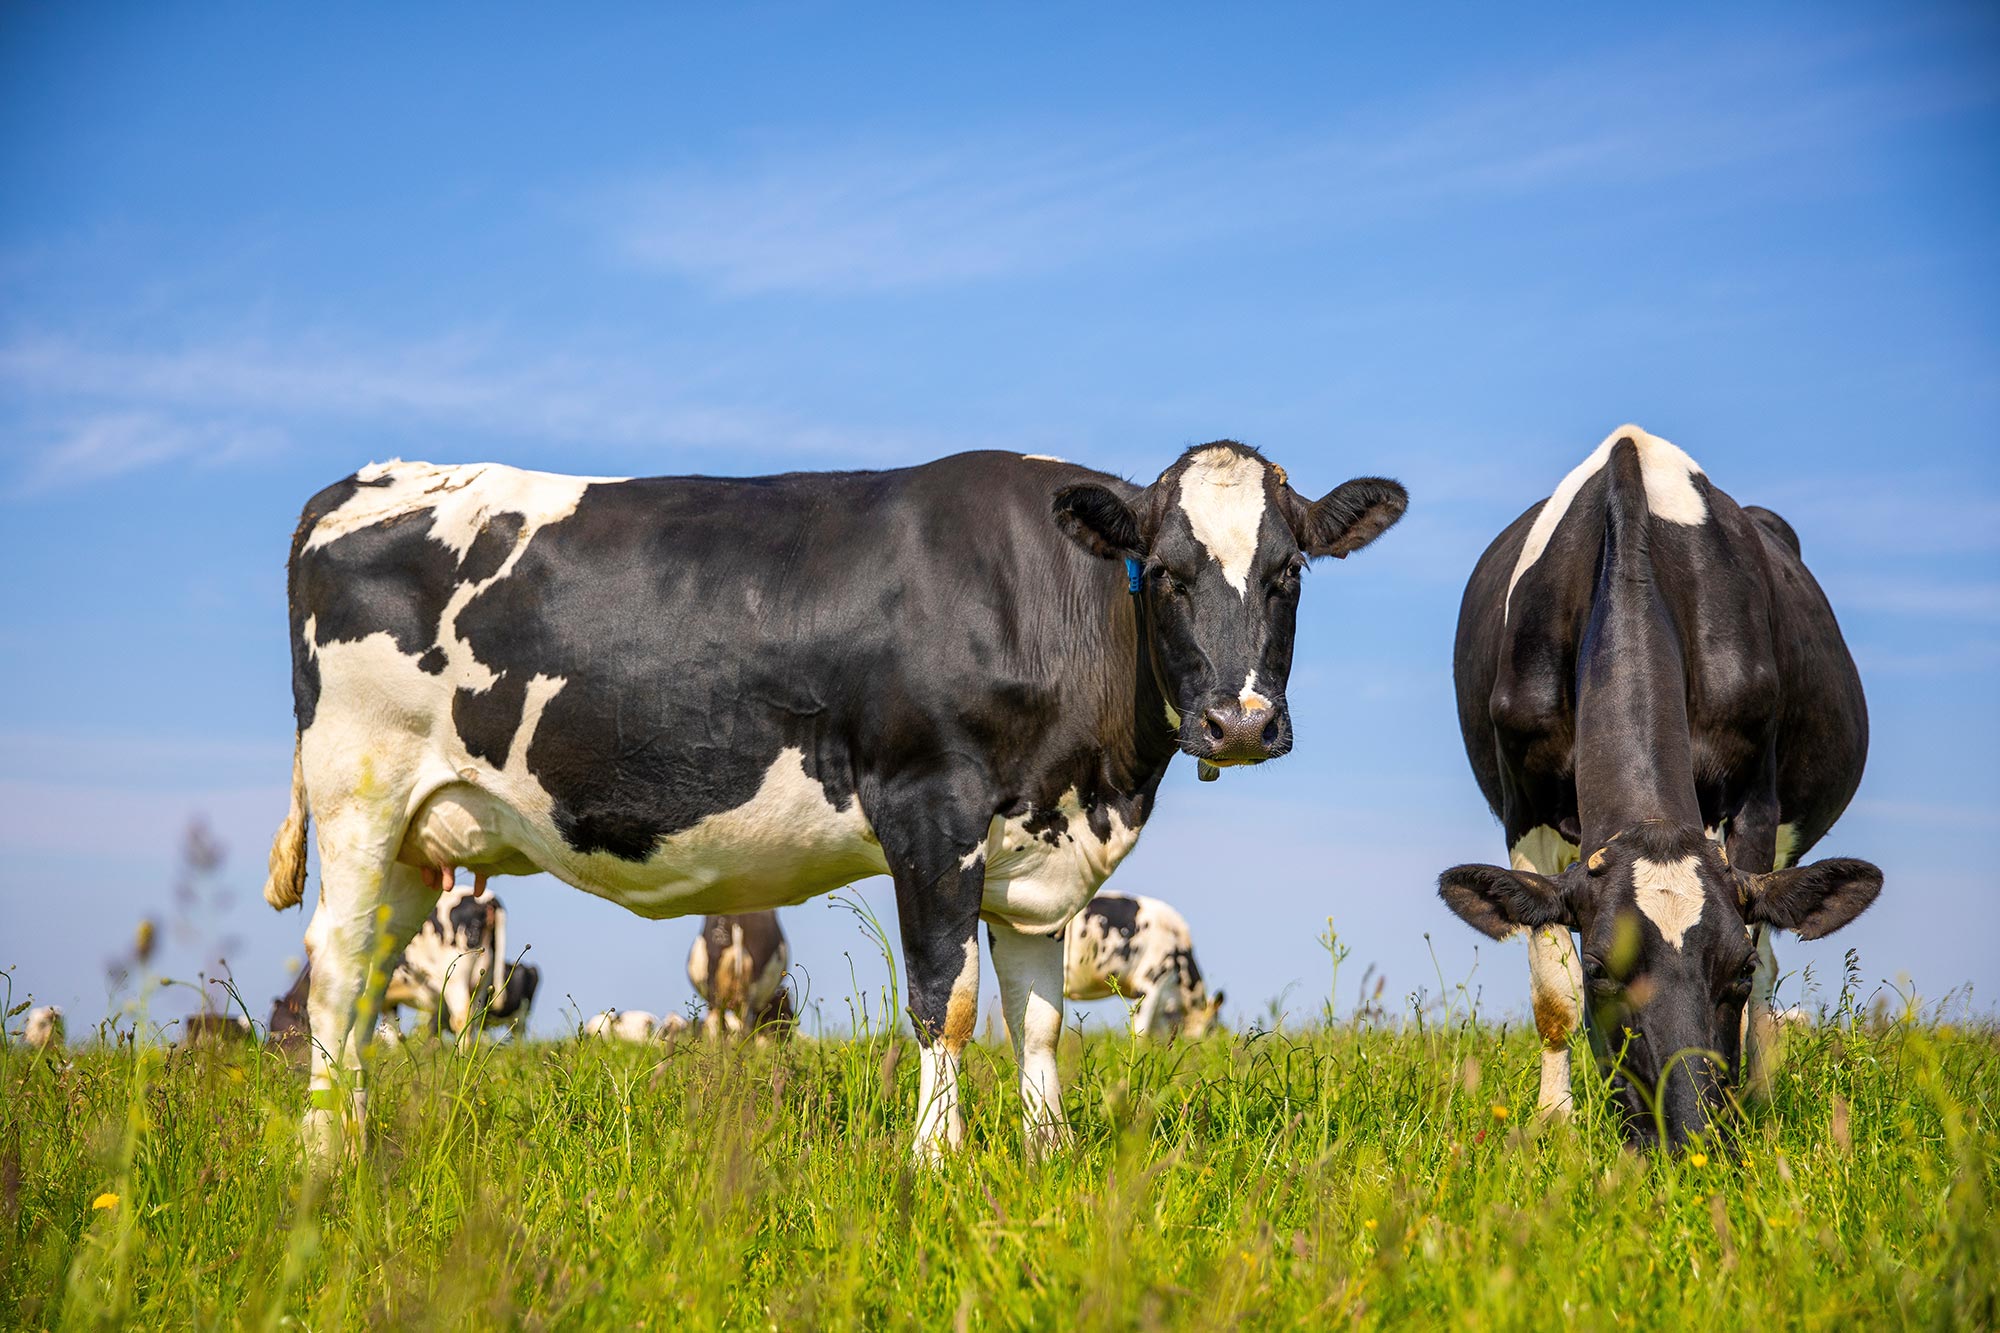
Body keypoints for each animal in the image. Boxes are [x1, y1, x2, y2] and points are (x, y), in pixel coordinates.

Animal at [1441, 426, 1880, 1150]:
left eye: (1735, 968)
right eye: (1601, 969)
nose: (1692, 1135)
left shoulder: (1753, 801)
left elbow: (1762, 965)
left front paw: (1749, 1110)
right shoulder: (1523, 808)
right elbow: (1552, 992)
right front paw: (1555, 1123)